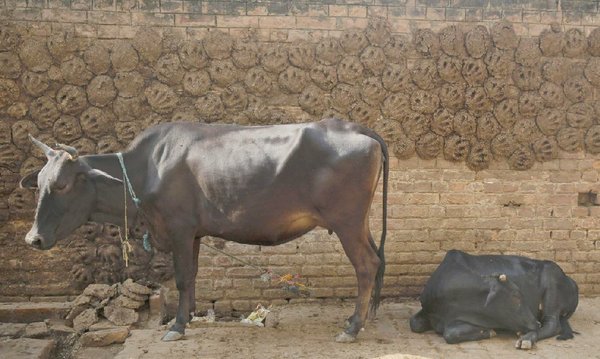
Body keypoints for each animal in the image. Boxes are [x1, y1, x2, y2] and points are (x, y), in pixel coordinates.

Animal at [18, 118, 390, 344]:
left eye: (63, 184)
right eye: (39, 182)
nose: (32, 238)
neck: (145, 170)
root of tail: (357, 128)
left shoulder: (179, 228)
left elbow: (182, 278)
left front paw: (177, 326)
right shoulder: (193, 233)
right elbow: (194, 274)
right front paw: (191, 317)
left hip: (346, 222)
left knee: (366, 265)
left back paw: (352, 328)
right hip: (360, 223)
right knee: (377, 260)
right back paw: (362, 318)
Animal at [410, 252, 580, 350]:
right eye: (515, 297)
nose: (535, 323)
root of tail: (570, 280)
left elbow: (450, 333)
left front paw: (489, 331)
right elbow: (415, 323)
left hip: (552, 290)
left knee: (552, 325)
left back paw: (526, 339)